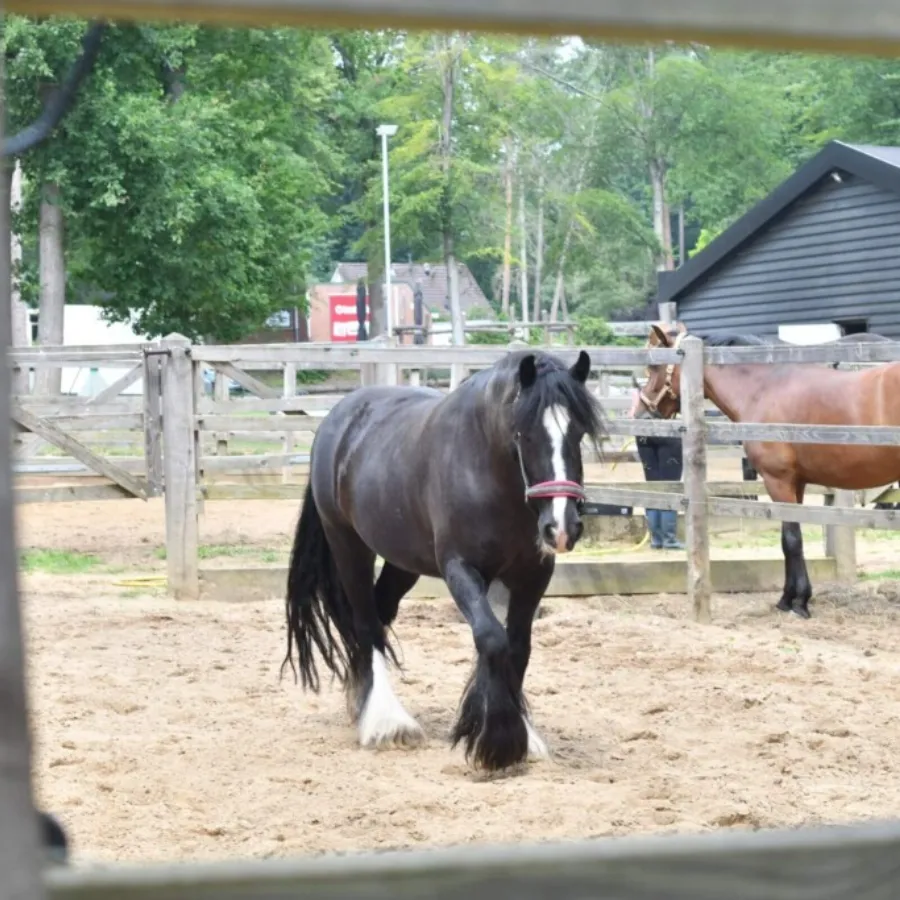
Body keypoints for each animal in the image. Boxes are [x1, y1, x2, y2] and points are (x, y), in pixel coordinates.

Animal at [282, 348, 604, 768]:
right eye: (524, 433)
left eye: (578, 432)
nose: (562, 528)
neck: (486, 469)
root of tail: (339, 417)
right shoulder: (461, 569)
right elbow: (491, 638)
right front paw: (497, 741)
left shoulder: (533, 575)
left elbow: (517, 647)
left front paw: (520, 736)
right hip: (348, 545)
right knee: (365, 624)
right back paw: (387, 722)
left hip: (403, 562)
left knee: (378, 616)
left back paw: (361, 701)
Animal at [636, 322, 900, 620]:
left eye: (654, 367)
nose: (642, 414)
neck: (766, 387)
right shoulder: (797, 483)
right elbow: (787, 540)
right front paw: (787, 599)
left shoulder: (778, 481)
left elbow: (792, 539)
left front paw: (799, 602)